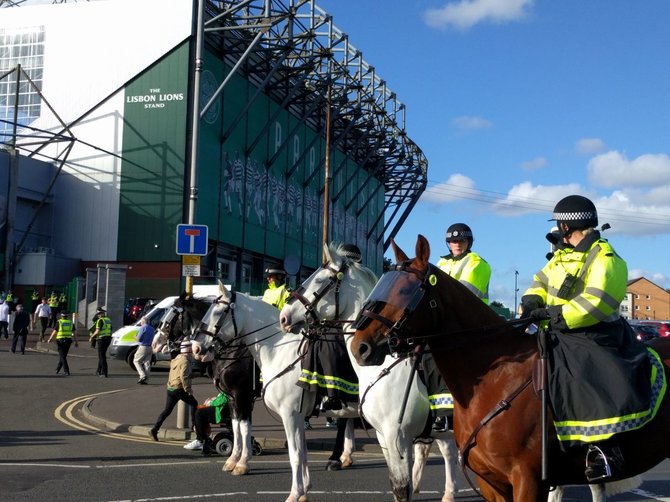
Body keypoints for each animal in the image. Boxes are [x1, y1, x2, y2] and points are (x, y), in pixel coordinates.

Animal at [197, 286, 360, 502]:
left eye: (218, 312)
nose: (196, 348)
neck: (280, 353)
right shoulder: (240, 401)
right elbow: (300, 451)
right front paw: (304, 490)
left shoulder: (259, 403)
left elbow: (290, 452)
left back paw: (337, 459)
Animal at [280, 243, 462, 502]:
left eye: (321, 280)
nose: (283, 317)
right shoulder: (384, 437)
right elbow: (398, 485)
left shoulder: (398, 437)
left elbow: (402, 489)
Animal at [350, 235, 670, 502]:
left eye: (406, 289)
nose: (359, 347)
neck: (495, 381)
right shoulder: (491, 482)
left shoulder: (527, 480)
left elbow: (401, 486)